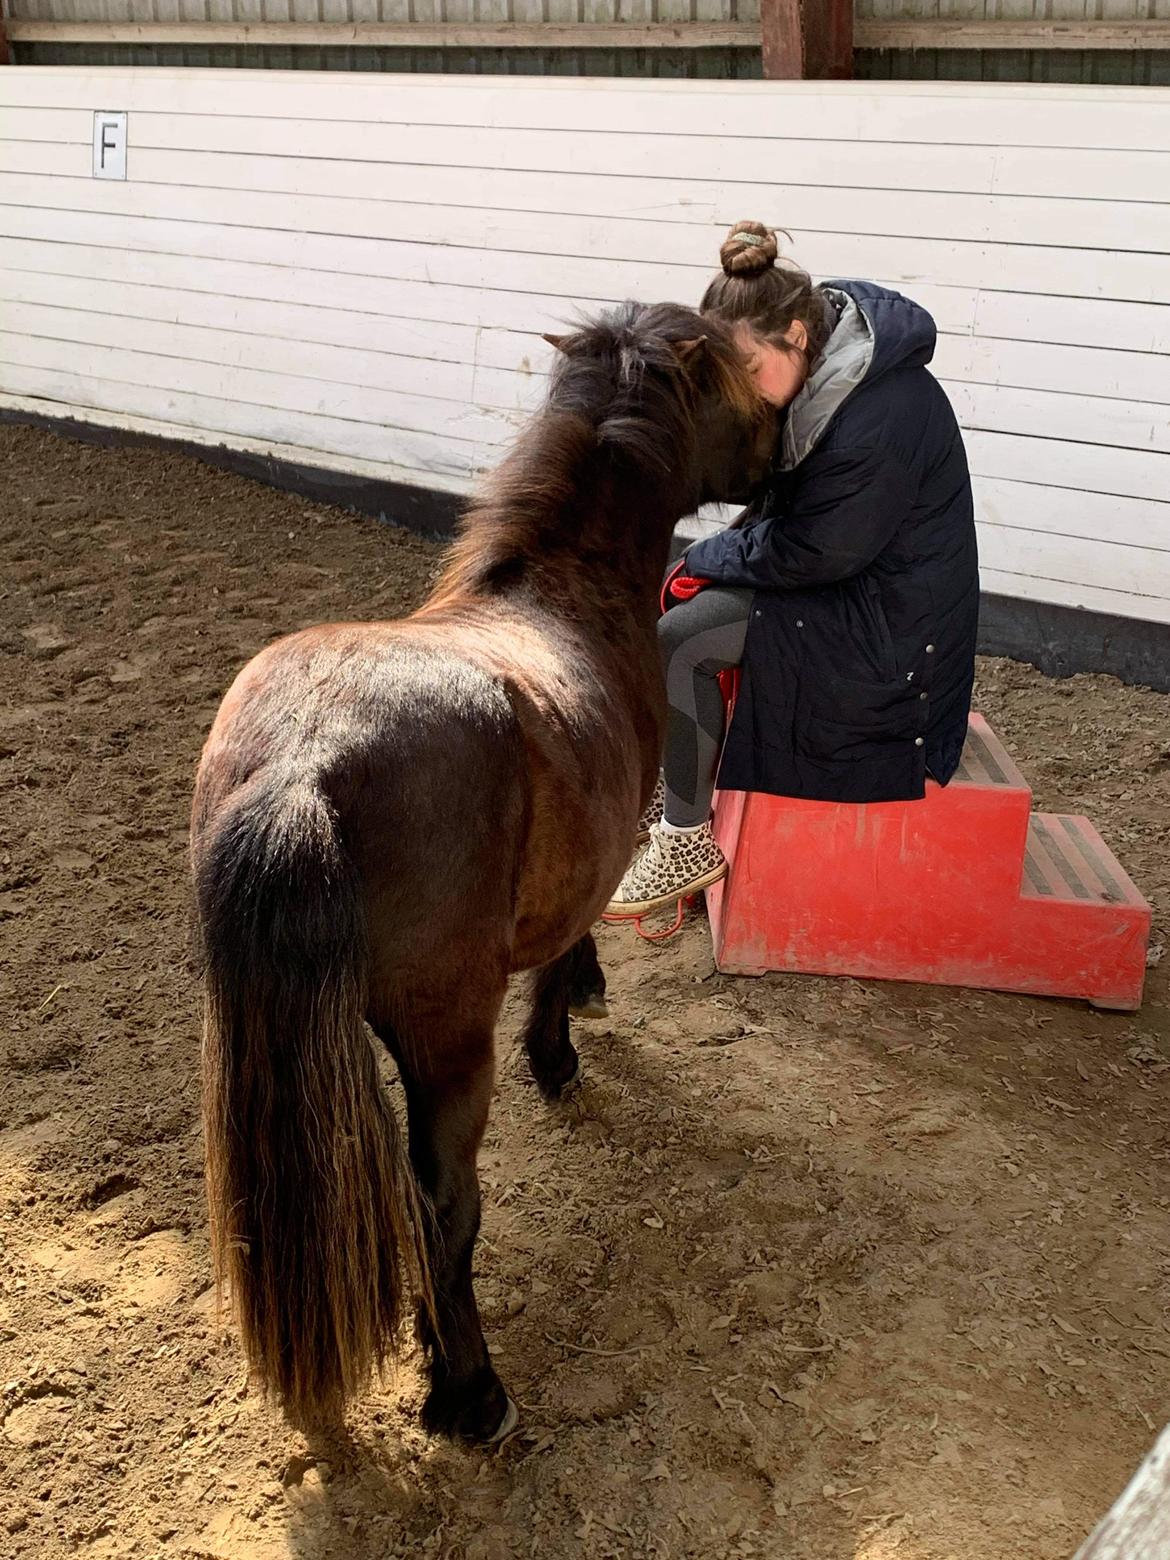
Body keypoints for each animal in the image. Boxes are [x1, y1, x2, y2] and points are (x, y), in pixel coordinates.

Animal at [192, 297, 780, 1441]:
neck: (562, 594)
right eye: (737, 384)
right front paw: (566, 1039)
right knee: (442, 1206)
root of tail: (301, 763)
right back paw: (471, 1392)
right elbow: (563, 951)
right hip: (446, 1042)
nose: (786, 459)